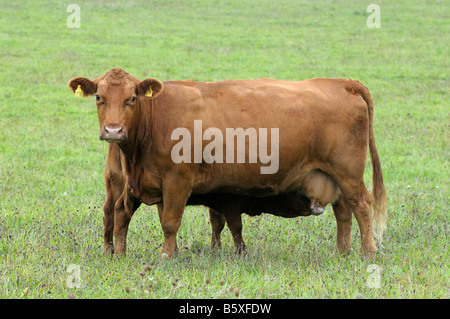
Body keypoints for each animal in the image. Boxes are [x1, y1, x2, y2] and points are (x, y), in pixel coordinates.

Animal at [69, 69, 386, 258]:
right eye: (99, 97)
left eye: (132, 98)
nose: (113, 130)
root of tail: (342, 83)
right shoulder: (149, 186)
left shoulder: (176, 182)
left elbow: (170, 223)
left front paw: (167, 256)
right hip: (333, 177)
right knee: (344, 213)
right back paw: (342, 252)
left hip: (348, 175)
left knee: (361, 207)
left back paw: (367, 252)